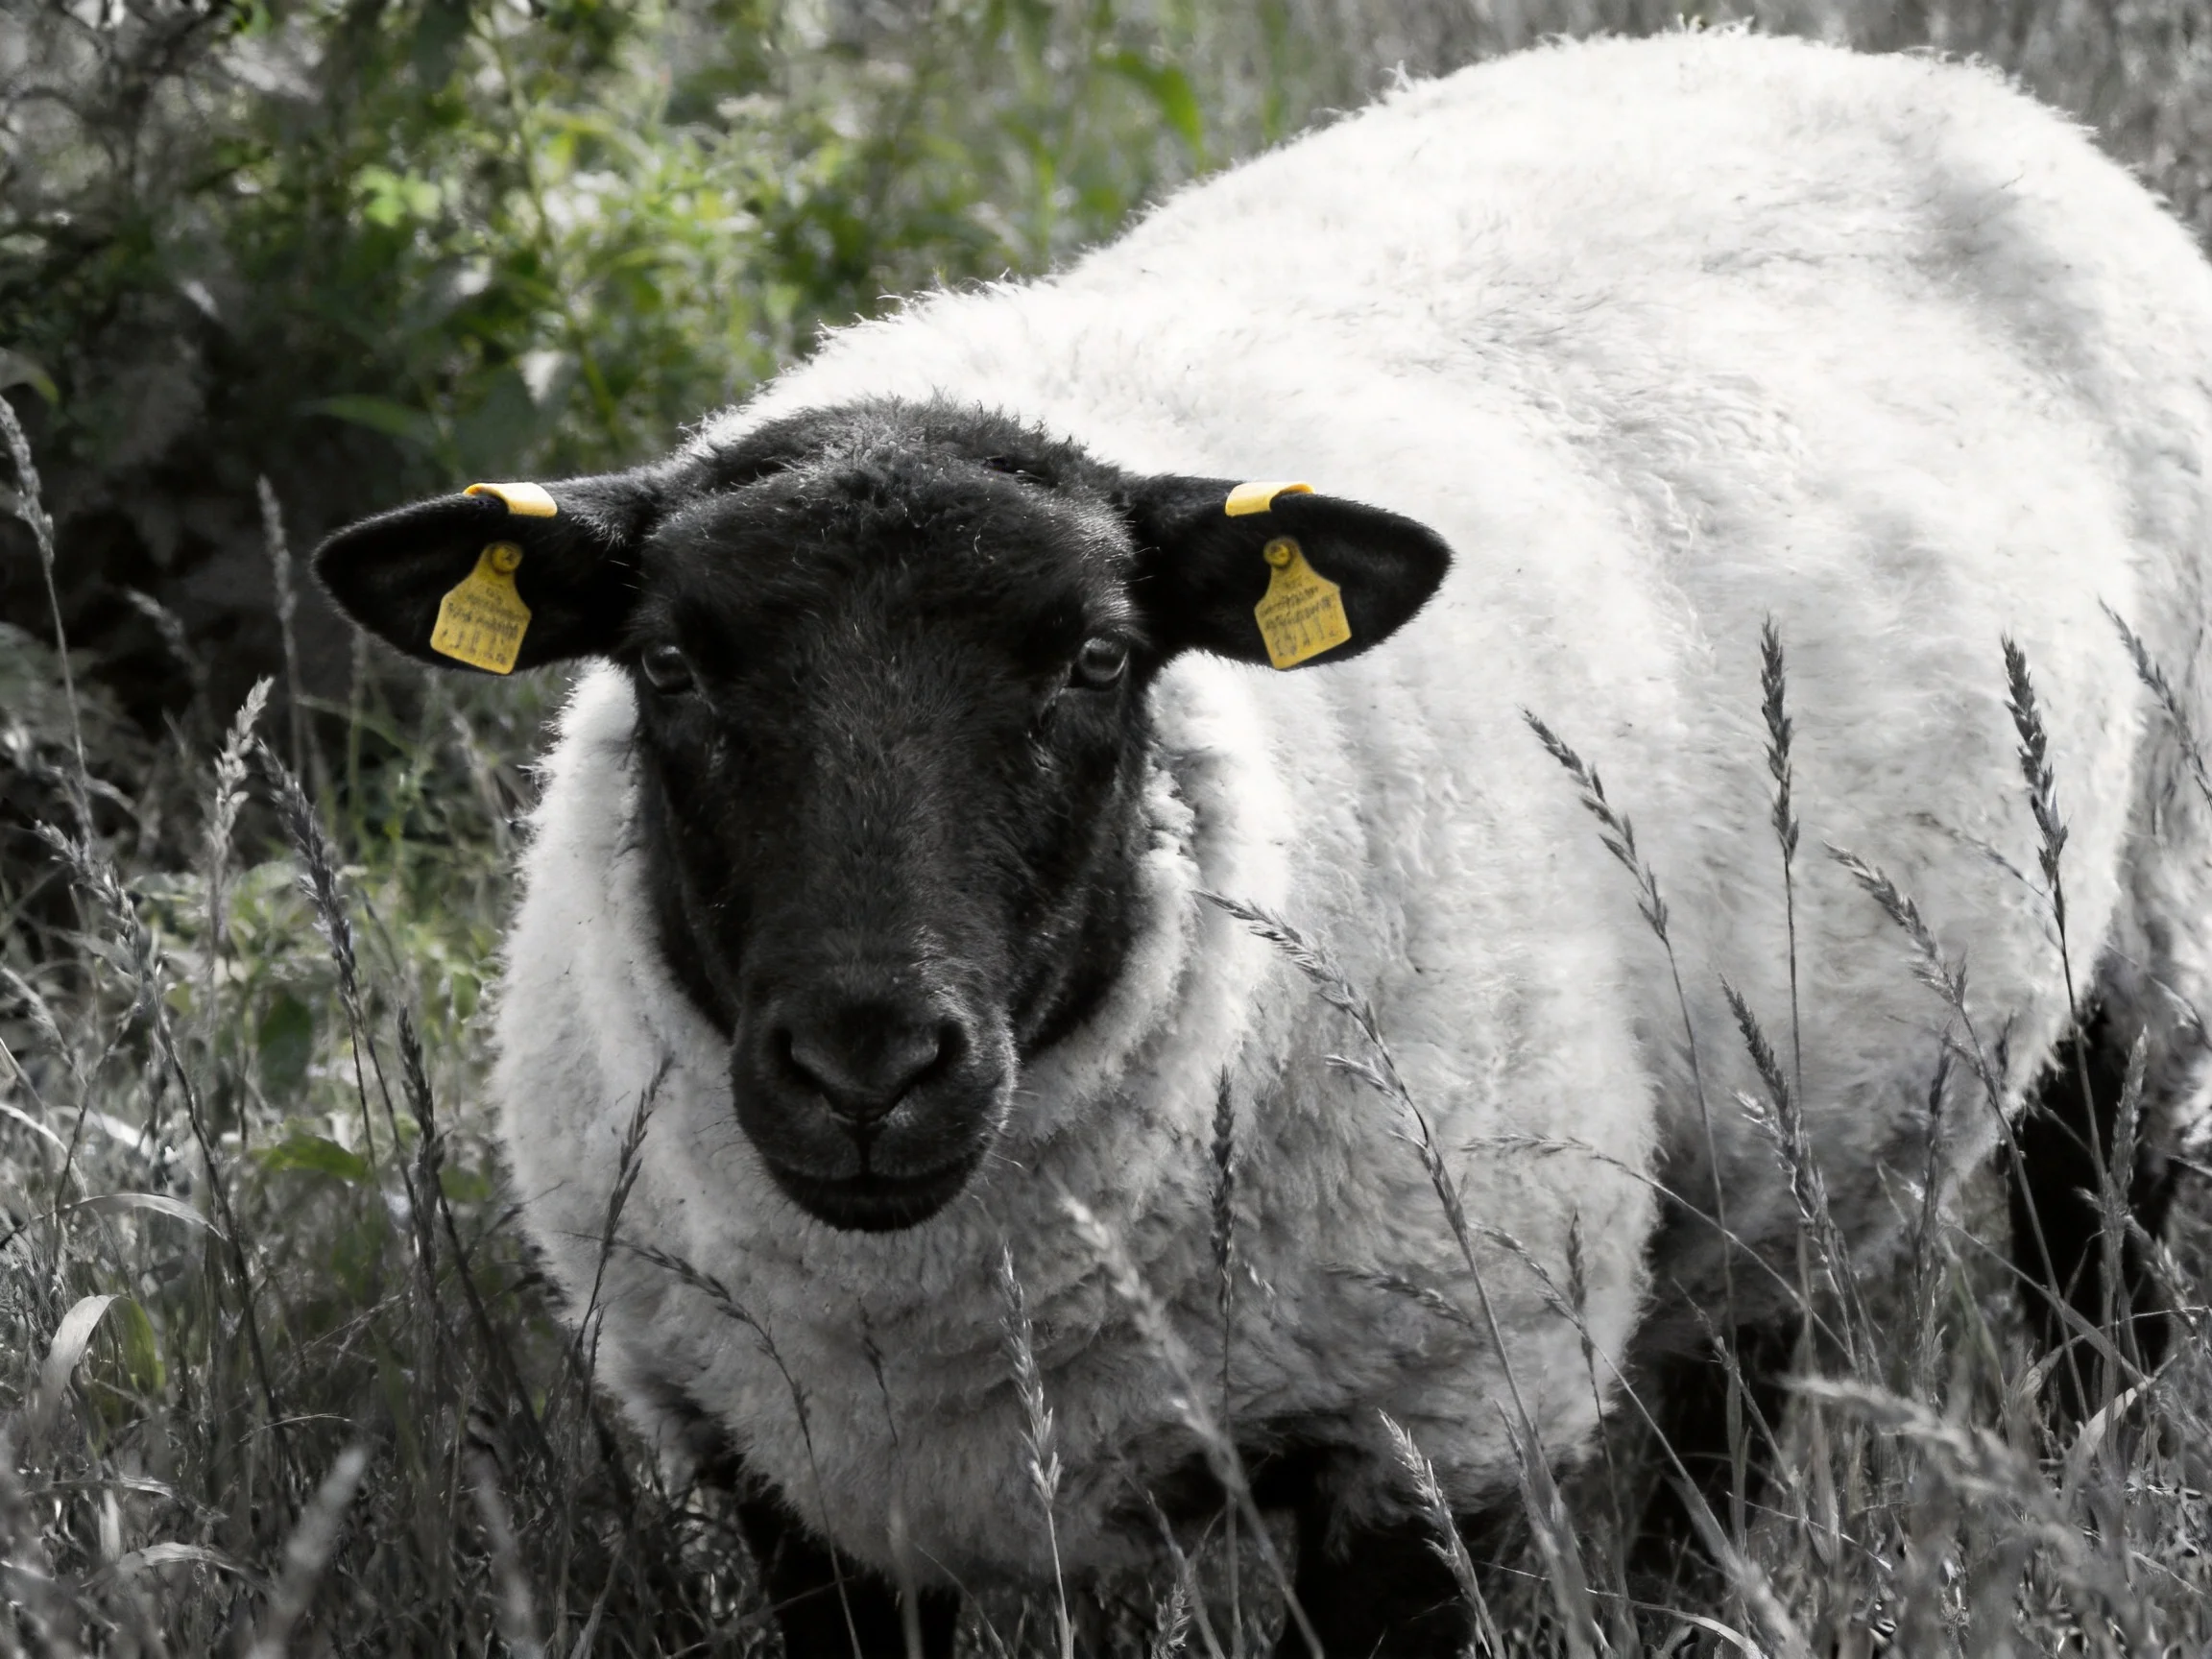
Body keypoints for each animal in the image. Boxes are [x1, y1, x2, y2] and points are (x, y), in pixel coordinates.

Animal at [314, 29, 2212, 1655]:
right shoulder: (781, 1481)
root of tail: (1897, 65)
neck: (923, 1312)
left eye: (1097, 660)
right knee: (1732, 1397)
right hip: (1785, 1108)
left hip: (2151, 910)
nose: (871, 1065)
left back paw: (2092, 1509)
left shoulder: (1442, 1420)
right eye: (670, 665)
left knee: (2092, 1259)